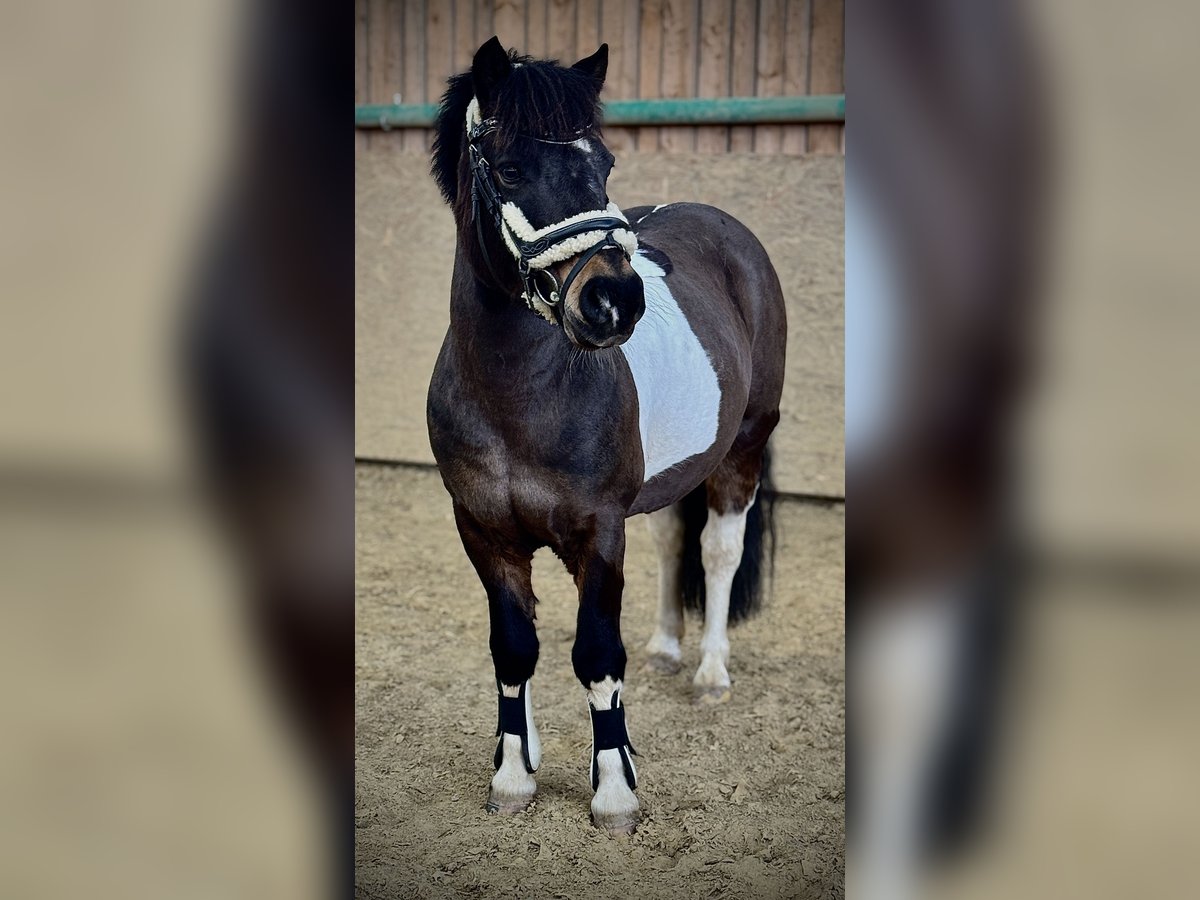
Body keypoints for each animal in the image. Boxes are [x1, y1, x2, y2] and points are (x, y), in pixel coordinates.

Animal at [424, 37, 787, 840]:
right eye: (510, 168)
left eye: (606, 164)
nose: (614, 299)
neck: (517, 394)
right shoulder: (483, 531)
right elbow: (514, 647)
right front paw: (513, 771)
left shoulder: (598, 529)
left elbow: (594, 653)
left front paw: (615, 793)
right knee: (674, 544)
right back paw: (666, 649)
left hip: (742, 448)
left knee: (718, 550)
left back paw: (710, 671)